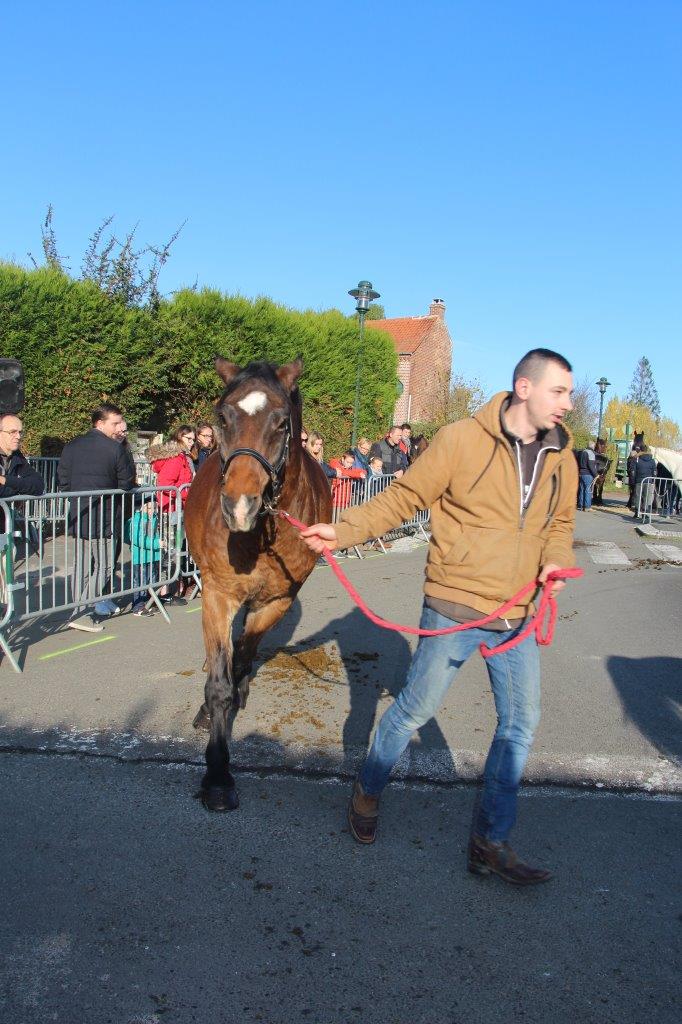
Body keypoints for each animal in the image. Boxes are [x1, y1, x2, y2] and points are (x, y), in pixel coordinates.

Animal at [184, 356, 329, 811]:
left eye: (282, 423)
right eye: (222, 417)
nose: (238, 506)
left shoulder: (277, 601)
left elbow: (242, 658)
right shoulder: (217, 595)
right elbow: (219, 684)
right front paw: (217, 775)